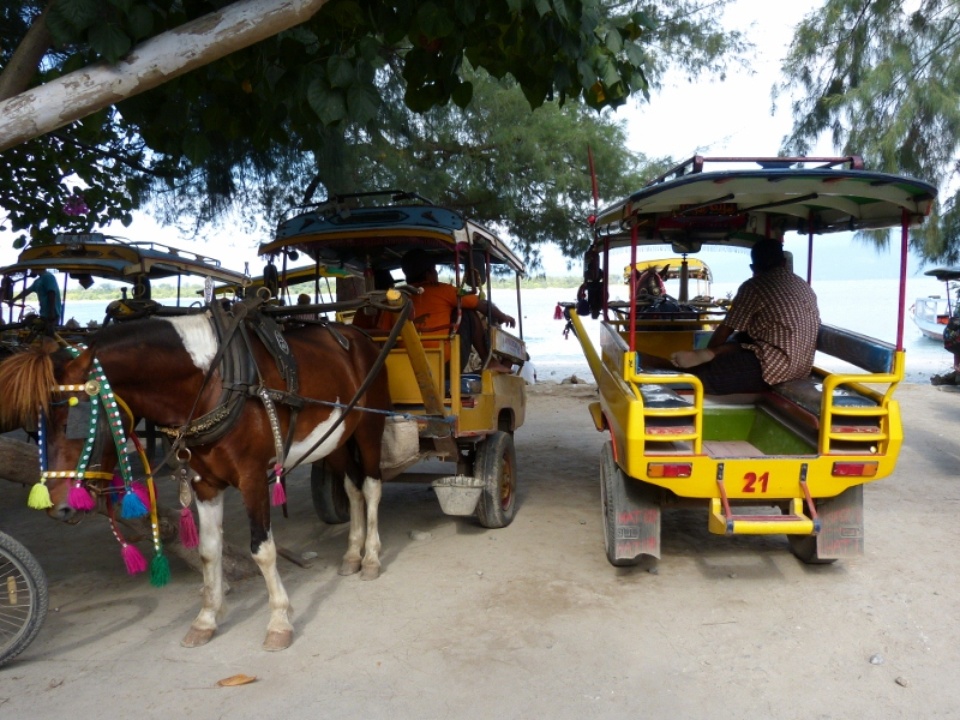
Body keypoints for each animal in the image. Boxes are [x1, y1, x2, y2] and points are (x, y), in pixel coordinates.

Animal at [0, 310, 392, 652]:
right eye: (37, 425)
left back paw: (371, 558)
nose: (58, 507)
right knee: (352, 488)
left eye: (77, 420)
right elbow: (207, 550)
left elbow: (262, 550)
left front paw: (279, 620)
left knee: (372, 487)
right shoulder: (204, 483)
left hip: (369, 427)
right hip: (335, 436)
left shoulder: (252, 477)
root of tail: (356, 335)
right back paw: (352, 554)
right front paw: (206, 620)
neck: (215, 382)